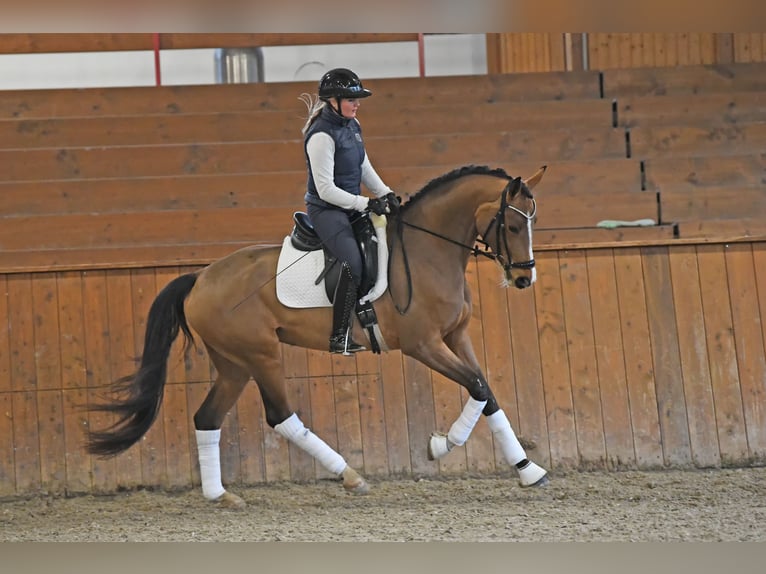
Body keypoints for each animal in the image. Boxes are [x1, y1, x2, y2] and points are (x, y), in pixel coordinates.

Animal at [87, 162, 548, 508]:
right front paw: (441, 444)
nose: (524, 279)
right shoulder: (424, 345)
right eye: (511, 226)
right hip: (261, 355)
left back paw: (220, 495)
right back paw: (350, 475)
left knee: (207, 418)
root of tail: (201, 278)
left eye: (533, 222)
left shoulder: (455, 337)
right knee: (280, 416)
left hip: (234, 363)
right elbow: (476, 386)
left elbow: (485, 390)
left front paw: (529, 471)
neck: (427, 252)